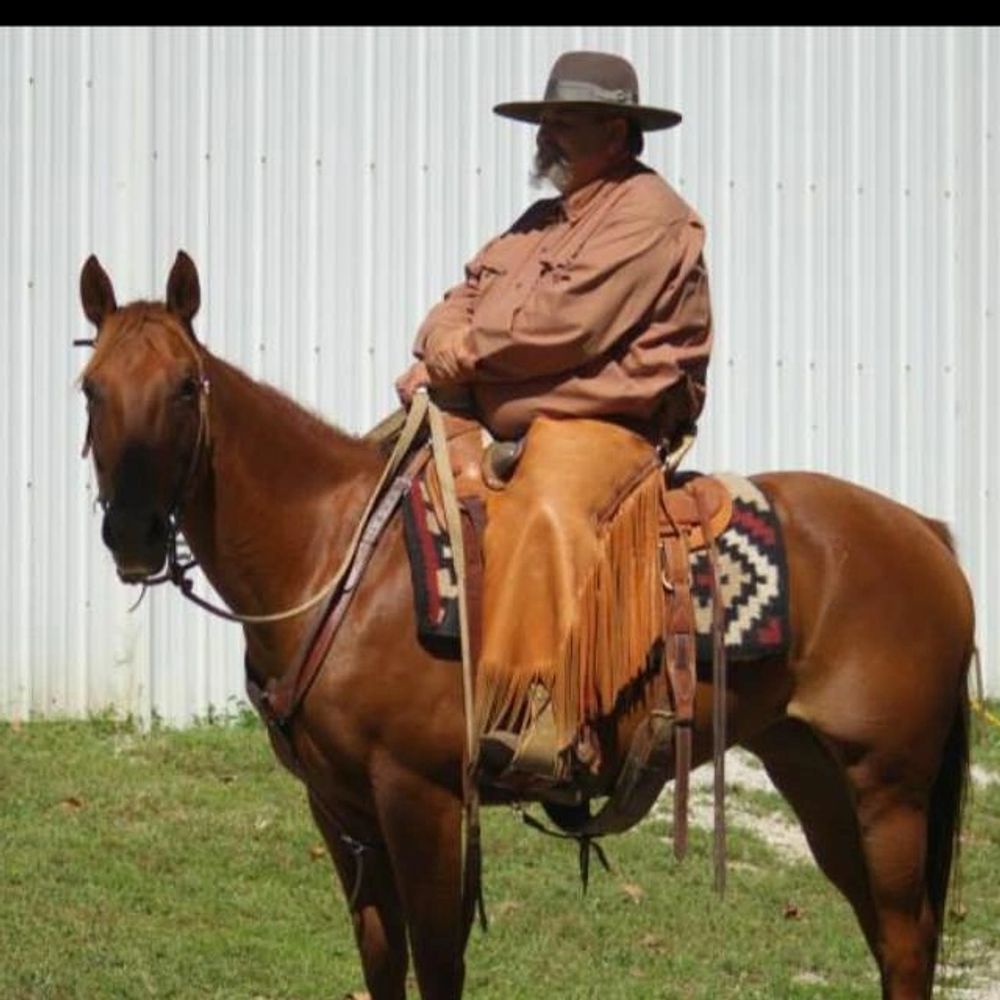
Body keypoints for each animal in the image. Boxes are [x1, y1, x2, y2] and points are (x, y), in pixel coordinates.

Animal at [76, 250, 974, 1000]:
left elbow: (439, 966)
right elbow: (382, 961)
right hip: (814, 771)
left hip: (888, 786)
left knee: (904, 941)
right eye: (90, 386)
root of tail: (927, 532)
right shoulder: (340, 812)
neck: (336, 553)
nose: (132, 534)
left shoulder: (424, 800)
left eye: (185, 386)